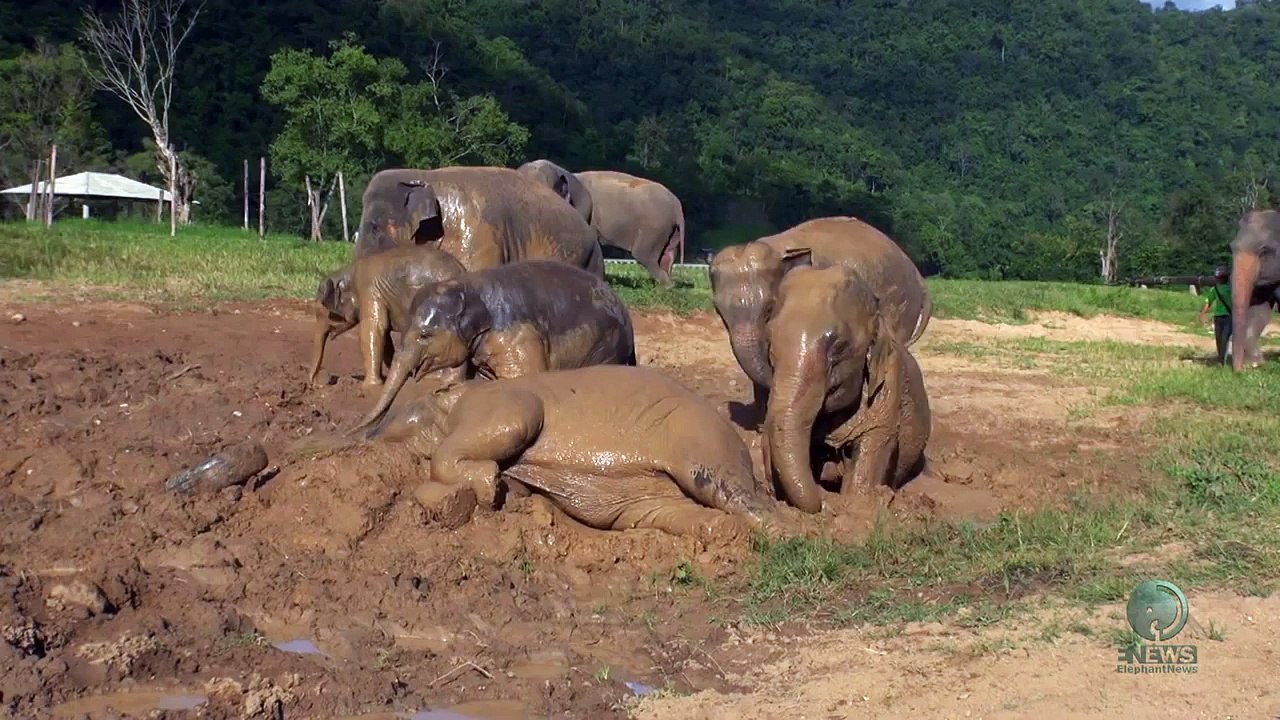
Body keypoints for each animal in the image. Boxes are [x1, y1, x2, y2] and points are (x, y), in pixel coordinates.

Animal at [308, 245, 467, 387]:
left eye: (320, 313)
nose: (318, 384)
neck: (347, 272)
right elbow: (384, 336)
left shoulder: (369, 291)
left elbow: (373, 329)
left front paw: (370, 387)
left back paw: (435, 380)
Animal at [353, 259, 637, 432]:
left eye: (424, 335)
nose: (356, 430)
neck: (469, 288)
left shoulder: (514, 337)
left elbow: (524, 378)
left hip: (606, 345)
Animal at [363, 364, 774, 539]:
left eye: (399, 411)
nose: (367, 435)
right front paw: (504, 486)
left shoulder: (495, 402)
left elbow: (518, 420)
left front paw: (490, 484)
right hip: (646, 503)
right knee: (677, 514)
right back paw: (723, 530)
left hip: (697, 439)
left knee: (730, 492)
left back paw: (781, 532)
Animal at [516, 161, 685, 288]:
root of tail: (677, 204)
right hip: (669, 230)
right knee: (668, 255)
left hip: (654, 227)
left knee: (644, 254)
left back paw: (667, 286)